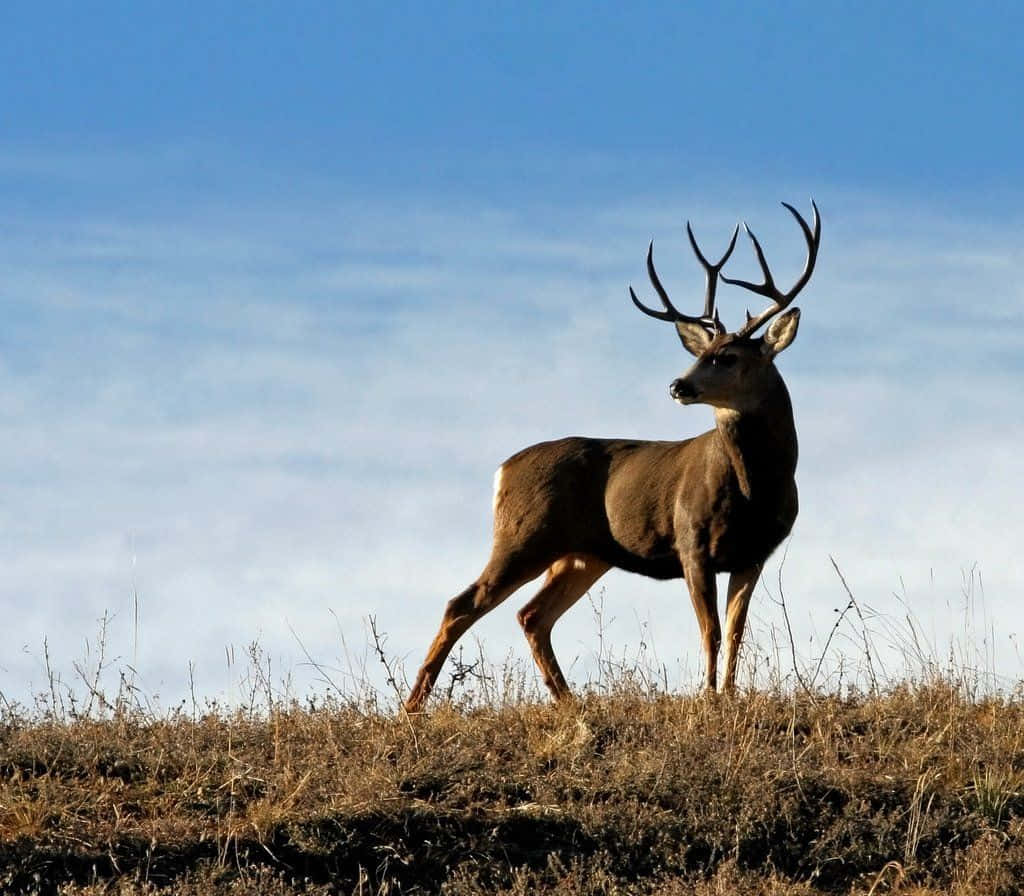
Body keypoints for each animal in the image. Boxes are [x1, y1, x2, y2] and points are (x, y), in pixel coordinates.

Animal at [404, 200, 820, 712]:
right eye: (703, 351)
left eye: (729, 357)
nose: (678, 385)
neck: (753, 491)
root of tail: (502, 471)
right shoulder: (691, 542)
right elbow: (712, 631)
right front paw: (707, 698)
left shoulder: (754, 554)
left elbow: (737, 632)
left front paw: (727, 695)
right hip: (523, 536)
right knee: (462, 604)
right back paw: (412, 707)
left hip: (583, 554)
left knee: (532, 615)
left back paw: (568, 701)